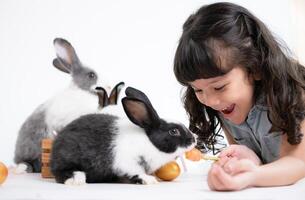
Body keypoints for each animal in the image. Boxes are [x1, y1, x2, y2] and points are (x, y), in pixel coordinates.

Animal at [50, 86, 195, 184]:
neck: (149, 143)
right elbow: (136, 172)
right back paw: (77, 180)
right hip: (67, 157)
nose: (193, 140)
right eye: (173, 131)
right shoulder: (127, 162)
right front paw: (149, 180)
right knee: (60, 171)